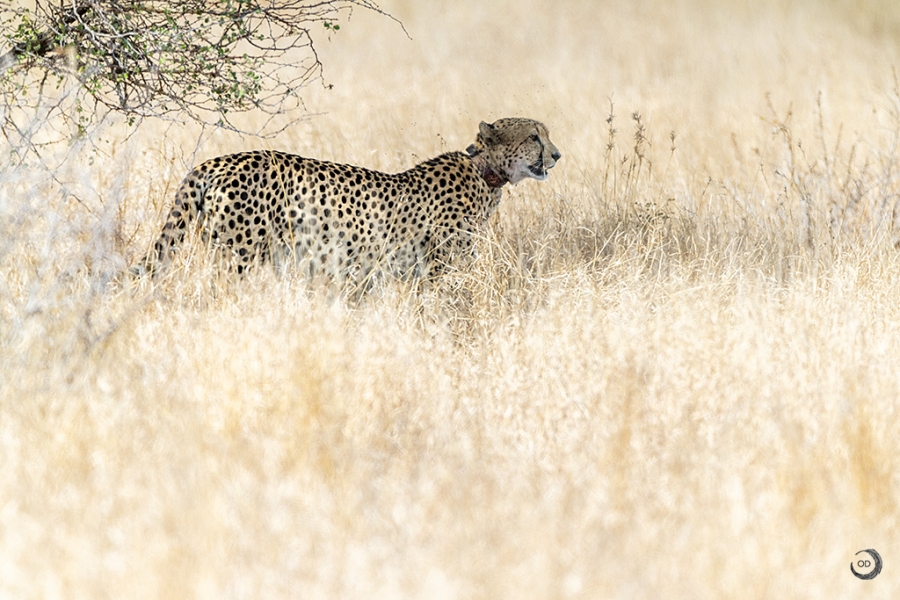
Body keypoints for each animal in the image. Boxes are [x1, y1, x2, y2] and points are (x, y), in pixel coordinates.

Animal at [136, 117, 560, 282]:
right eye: (534, 136)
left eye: (545, 134)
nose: (557, 155)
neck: (485, 173)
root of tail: (218, 161)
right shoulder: (437, 269)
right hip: (238, 256)